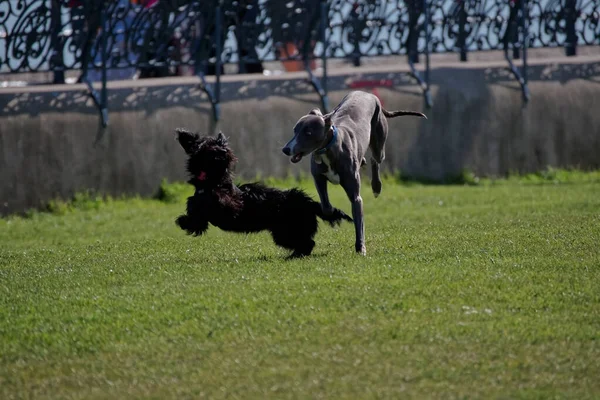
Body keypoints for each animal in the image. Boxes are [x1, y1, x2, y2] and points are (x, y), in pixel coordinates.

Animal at [172, 130, 352, 258]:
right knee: (307, 243)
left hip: (287, 230)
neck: (212, 180)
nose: (223, 151)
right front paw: (183, 221)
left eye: (220, 144)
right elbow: (196, 218)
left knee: (308, 243)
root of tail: (307, 202)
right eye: (207, 146)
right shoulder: (199, 211)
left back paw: (293, 256)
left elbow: (220, 202)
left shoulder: (233, 205)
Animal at [282, 90, 426, 255]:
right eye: (294, 130)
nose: (286, 149)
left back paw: (376, 186)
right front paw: (334, 213)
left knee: (375, 159)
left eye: (308, 132)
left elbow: (359, 219)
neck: (329, 148)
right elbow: (326, 206)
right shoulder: (318, 177)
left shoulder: (355, 195)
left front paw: (361, 248)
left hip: (379, 142)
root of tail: (368, 94)